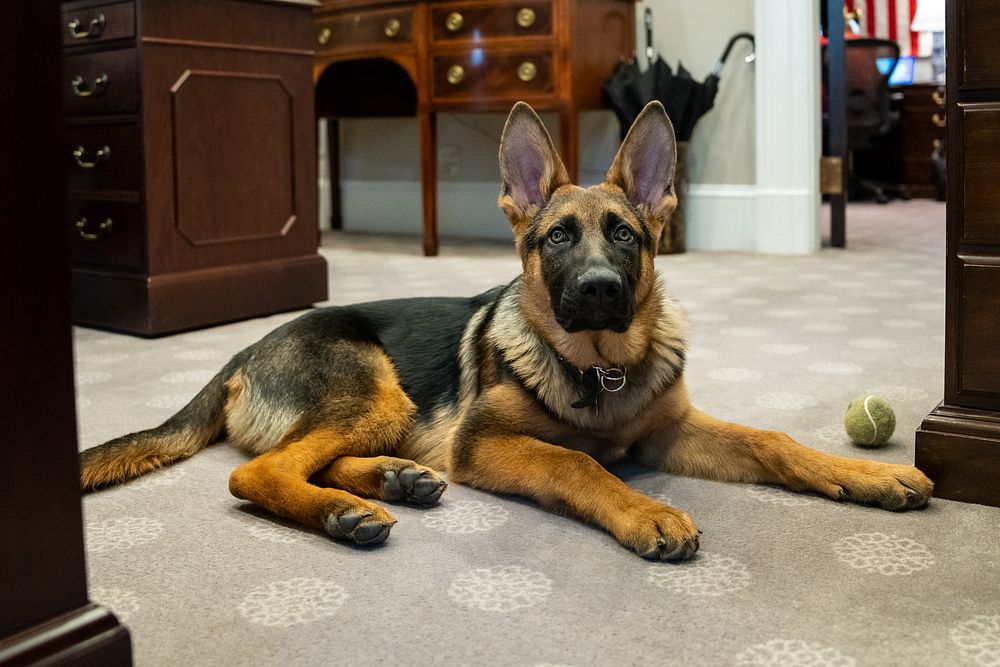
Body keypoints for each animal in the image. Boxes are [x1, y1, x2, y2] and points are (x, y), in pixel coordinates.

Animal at [82, 100, 932, 560]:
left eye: (624, 236)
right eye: (557, 238)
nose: (598, 290)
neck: (600, 367)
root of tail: (242, 348)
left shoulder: (670, 430)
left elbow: (771, 440)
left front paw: (866, 474)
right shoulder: (486, 444)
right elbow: (581, 463)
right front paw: (646, 510)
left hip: (383, 412)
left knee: (305, 459)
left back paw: (392, 479)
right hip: (376, 390)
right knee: (257, 472)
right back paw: (346, 511)